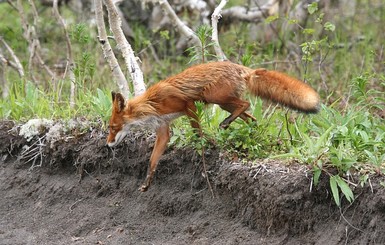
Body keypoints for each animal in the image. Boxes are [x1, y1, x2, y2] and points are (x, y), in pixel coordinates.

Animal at [106, 60, 320, 191]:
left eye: (112, 127)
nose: (108, 144)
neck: (151, 104)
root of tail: (243, 69)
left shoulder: (187, 105)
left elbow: (197, 131)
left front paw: (205, 145)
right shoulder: (163, 129)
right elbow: (152, 160)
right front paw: (147, 183)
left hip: (213, 96)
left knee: (245, 104)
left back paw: (226, 124)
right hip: (224, 102)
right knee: (251, 117)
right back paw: (247, 131)